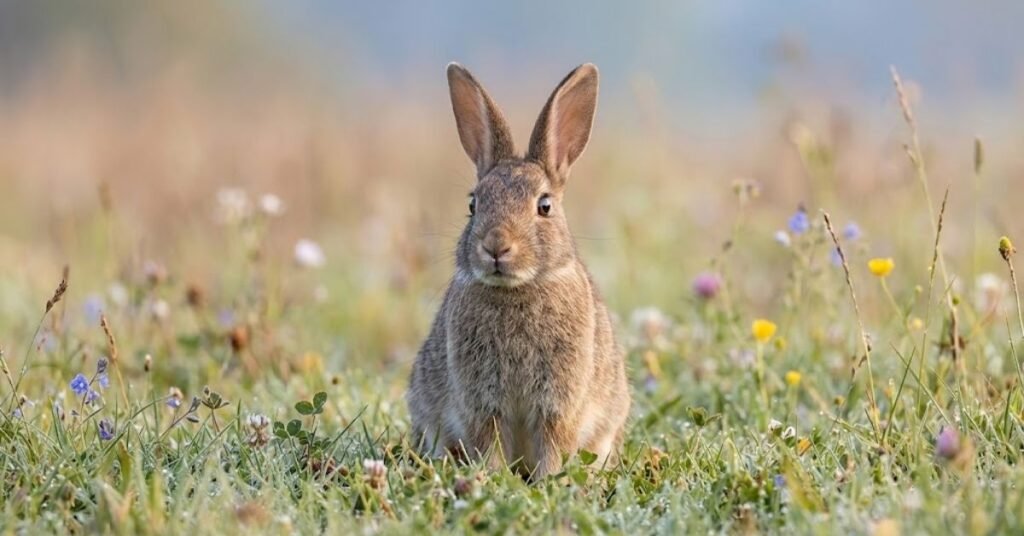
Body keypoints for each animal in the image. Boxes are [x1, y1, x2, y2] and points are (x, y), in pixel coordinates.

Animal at [407, 62, 630, 479]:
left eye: (544, 206)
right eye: (473, 204)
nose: (496, 246)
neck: (519, 289)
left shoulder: (558, 402)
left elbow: (554, 441)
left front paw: (548, 480)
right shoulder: (483, 401)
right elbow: (491, 440)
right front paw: (493, 478)